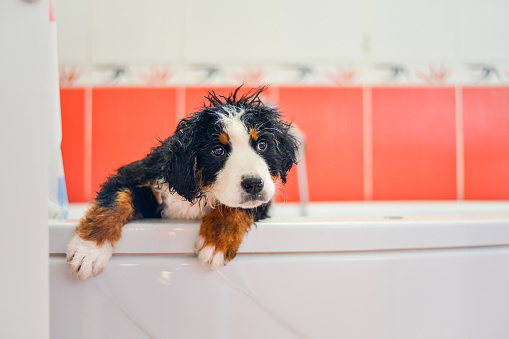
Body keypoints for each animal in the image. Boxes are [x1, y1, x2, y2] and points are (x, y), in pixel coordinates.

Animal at [67, 86, 298, 280]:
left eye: (262, 145)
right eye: (218, 151)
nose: (254, 184)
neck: (201, 190)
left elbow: (239, 208)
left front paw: (216, 243)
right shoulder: (137, 176)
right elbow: (114, 201)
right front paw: (88, 250)